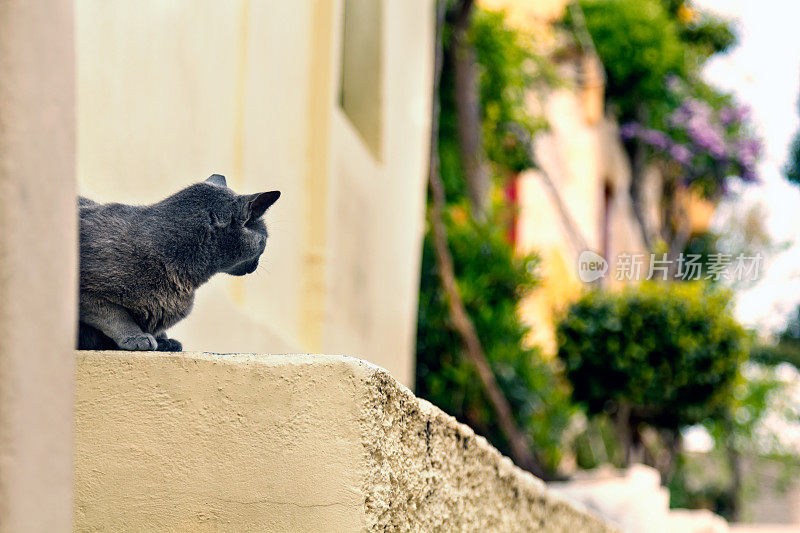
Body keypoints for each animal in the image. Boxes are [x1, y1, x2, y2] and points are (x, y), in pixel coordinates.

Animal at [78, 172, 278, 352]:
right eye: (265, 240)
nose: (256, 264)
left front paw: (163, 339)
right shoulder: (87, 292)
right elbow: (116, 315)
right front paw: (136, 337)